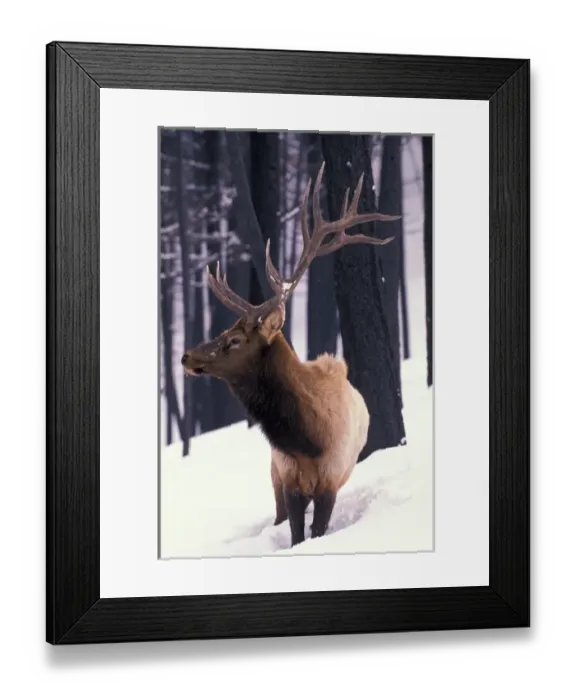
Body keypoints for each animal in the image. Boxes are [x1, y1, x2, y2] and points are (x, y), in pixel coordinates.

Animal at [181, 161, 400, 548]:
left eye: (234, 340)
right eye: (224, 332)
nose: (187, 356)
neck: (308, 442)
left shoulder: (330, 482)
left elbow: (316, 531)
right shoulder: (288, 478)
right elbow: (296, 533)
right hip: (272, 474)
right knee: (277, 515)